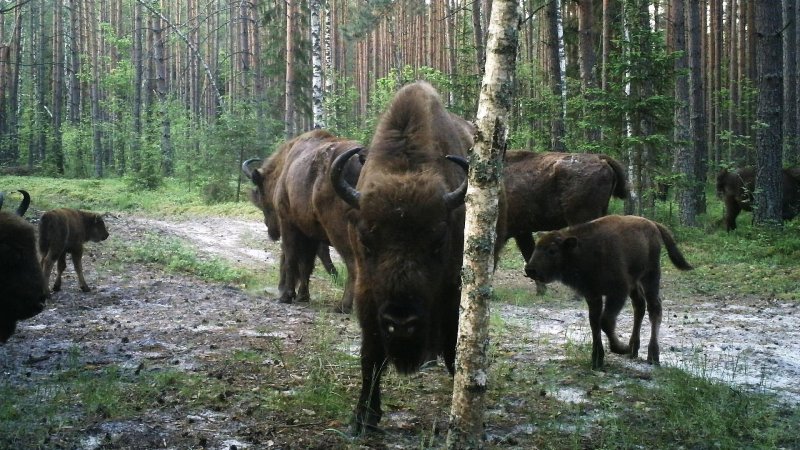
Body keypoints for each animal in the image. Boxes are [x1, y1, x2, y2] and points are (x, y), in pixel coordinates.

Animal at [241, 129, 360, 312]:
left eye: (261, 196)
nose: (271, 230)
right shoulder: (311, 233)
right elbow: (306, 265)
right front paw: (303, 296)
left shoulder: (289, 224)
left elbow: (291, 258)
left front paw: (286, 296)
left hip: (339, 232)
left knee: (353, 264)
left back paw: (343, 306)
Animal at [332, 81, 506, 432]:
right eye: (367, 240)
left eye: (437, 241)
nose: (401, 323)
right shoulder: (367, 291)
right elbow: (371, 354)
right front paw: (363, 419)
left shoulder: (454, 288)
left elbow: (455, 348)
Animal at [520, 214, 692, 370]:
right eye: (537, 247)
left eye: (552, 250)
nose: (530, 269)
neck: (583, 250)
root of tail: (653, 224)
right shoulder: (593, 295)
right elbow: (594, 323)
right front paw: (597, 360)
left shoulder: (617, 292)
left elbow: (606, 321)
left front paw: (620, 348)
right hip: (634, 283)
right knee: (639, 306)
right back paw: (633, 349)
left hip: (650, 275)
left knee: (654, 308)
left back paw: (652, 356)